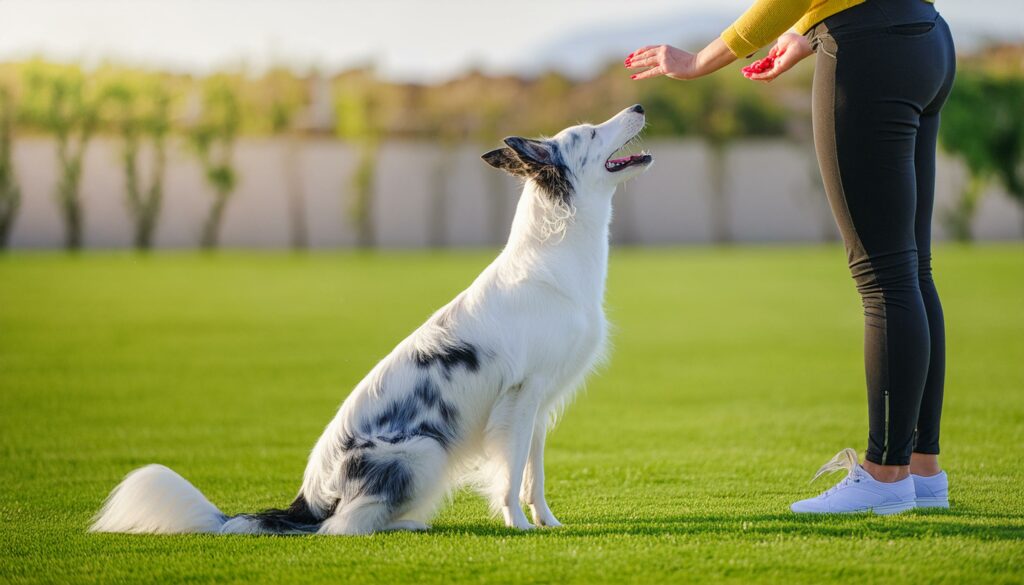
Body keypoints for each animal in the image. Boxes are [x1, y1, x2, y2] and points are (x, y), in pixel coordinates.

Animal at [94, 105, 655, 536]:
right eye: (589, 133)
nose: (639, 105)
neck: (556, 258)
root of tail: (306, 498)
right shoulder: (520, 397)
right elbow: (510, 474)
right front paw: (517, 526)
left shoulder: (539, 404)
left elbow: (532, 476)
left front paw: (547, 523)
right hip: (422, 451)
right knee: (339, 528)